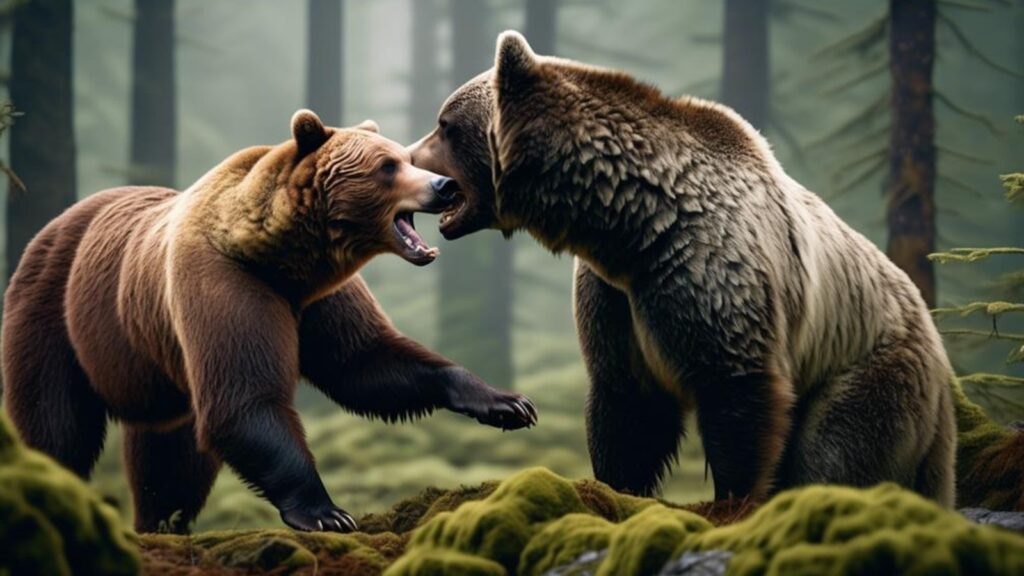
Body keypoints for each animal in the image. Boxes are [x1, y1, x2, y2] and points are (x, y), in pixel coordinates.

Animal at [1, 109, 537, 534]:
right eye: (389, 166)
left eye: (406, 158)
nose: (445, 185)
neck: (283, 257)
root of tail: (51, 226)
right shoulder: (227, 286)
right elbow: (247, 399)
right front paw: (326, 512)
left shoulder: (321, 299)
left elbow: (367, 361)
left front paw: (505, 402)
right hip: (54, 315)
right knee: (56, 423)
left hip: (158, 374)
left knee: (170, 458)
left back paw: (162, 522)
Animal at [408, 32, 956, 506]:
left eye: (445, 124)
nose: (408, 156)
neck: (629, 224)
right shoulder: (614, 295)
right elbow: (626, 404)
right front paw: (619, 485)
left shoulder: (709, 273)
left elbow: (737, 392)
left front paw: (732, 499)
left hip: (864, 367)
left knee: (836, 451)